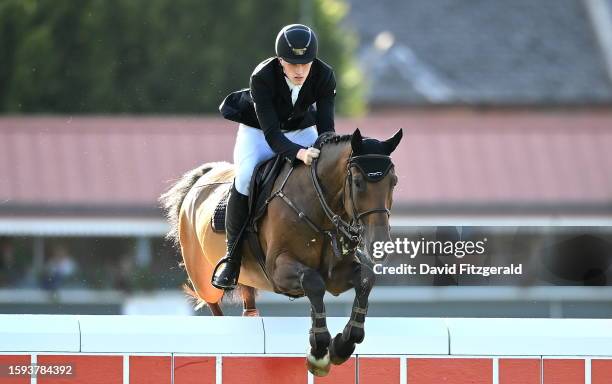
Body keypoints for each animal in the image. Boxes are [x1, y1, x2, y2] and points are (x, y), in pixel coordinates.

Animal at [160, 128, 404, 376]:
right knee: (213, 304)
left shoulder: (336, 276)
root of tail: (201, 179)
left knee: (248, 301)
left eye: (393, 182)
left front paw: (342, 344)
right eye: (357, 182)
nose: (380, 244)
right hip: (203, 281)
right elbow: (313, 281)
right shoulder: (278, 269)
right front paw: (319, 351)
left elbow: (365, 279)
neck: (318, 206)